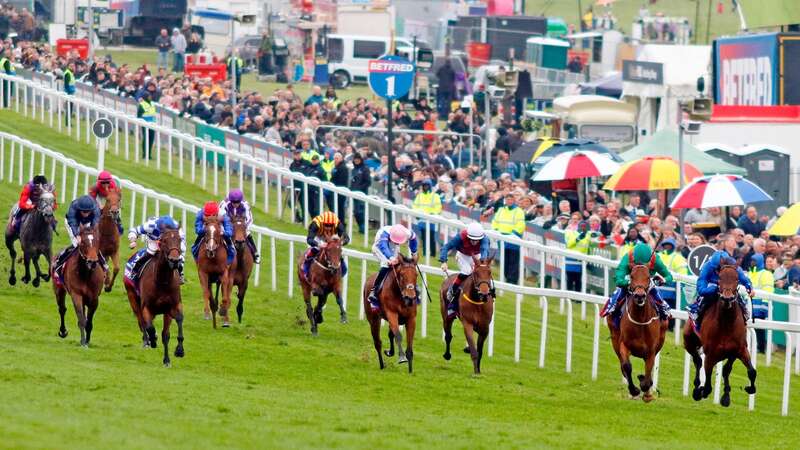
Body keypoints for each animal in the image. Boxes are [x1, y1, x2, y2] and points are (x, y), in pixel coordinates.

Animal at [124, 229, 185, 366]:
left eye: (179, 239)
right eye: (164, 240)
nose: (174, 260)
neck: (162, 281)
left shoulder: (171, 307)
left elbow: (169, 331)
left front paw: (175, 354)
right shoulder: (147, 308)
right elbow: (150, 327)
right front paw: (152, 340)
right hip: (132, 298)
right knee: (141, 321)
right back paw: (147, 341)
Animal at [608, 264, 664, 400]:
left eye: (648, 277)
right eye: (632, 276)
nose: (639, 296)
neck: (640, 320)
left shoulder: (651, 350)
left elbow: (648, 371)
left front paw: (646, 388)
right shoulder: (624, 344)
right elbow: (627, 366)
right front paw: (634, 390)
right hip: (614, 339)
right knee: (622, 364)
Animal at [680, 264, 756, 408]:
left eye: (737, 279)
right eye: (719, 279)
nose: (727, 298)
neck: (726, 323)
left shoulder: (739, 350)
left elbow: (749, 371)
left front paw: (743, 390)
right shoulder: (711, 354)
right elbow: (708, 384)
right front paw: (701, 391)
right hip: (689, 342)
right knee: (698, 361)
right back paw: (697, 388)